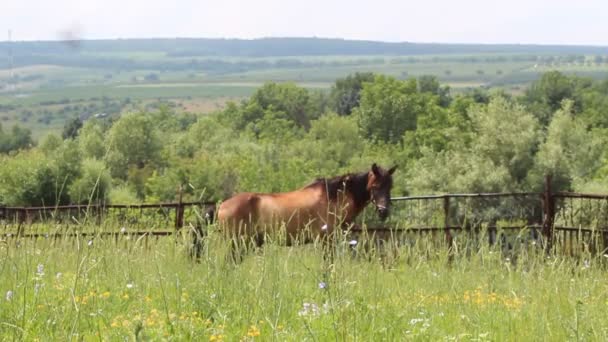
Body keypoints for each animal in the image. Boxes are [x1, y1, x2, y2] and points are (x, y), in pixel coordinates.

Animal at [216, 163, 396, 251]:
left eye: (390, 187)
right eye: (375, 186)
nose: (383, 211)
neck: (332, 197)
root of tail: (222, 206)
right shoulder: (326, 241)